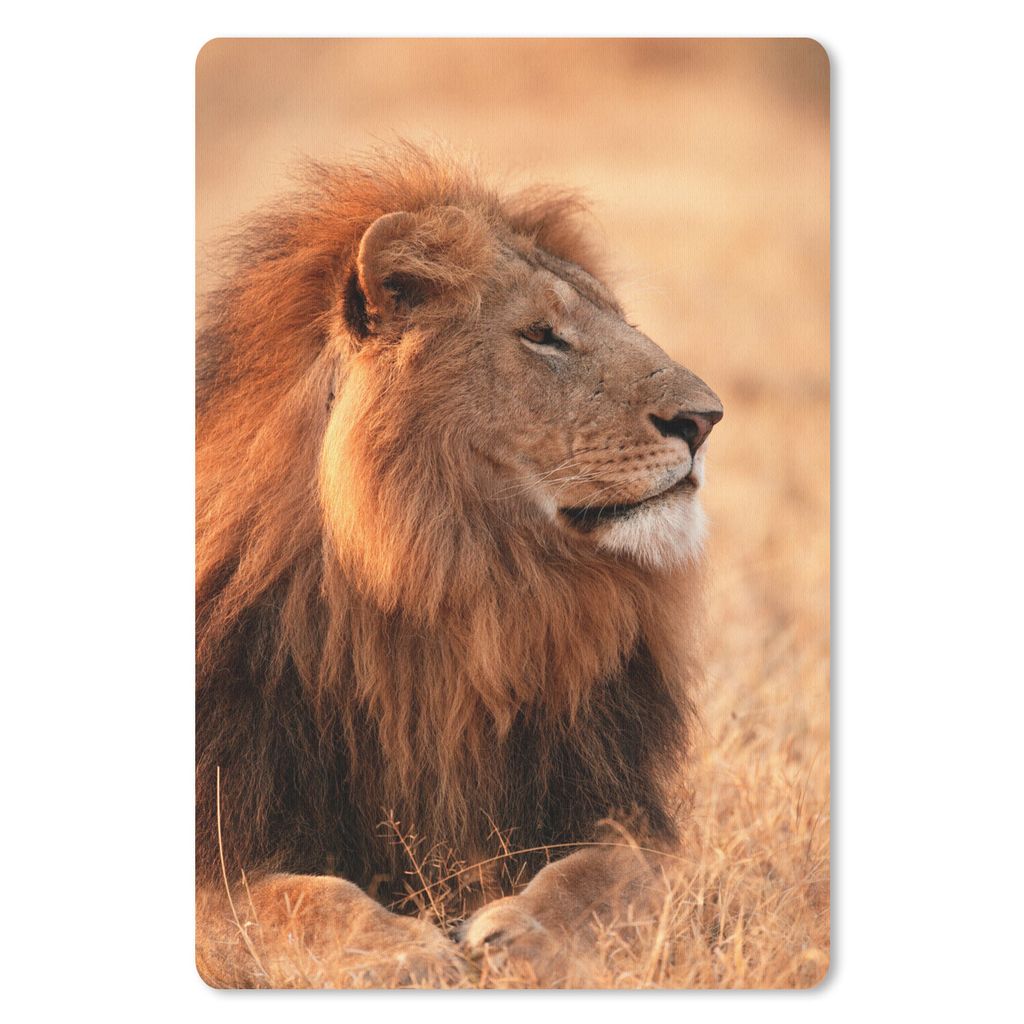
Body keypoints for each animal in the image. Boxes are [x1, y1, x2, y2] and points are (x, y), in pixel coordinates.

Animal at [196, 145, 723, 988]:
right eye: (542, 335)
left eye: (620, 322)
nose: (706, 420)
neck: (463, 592)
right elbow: (293, 902)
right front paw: (403, 953)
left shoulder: (620, 815)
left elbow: (613, 876)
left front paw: (523, 935)